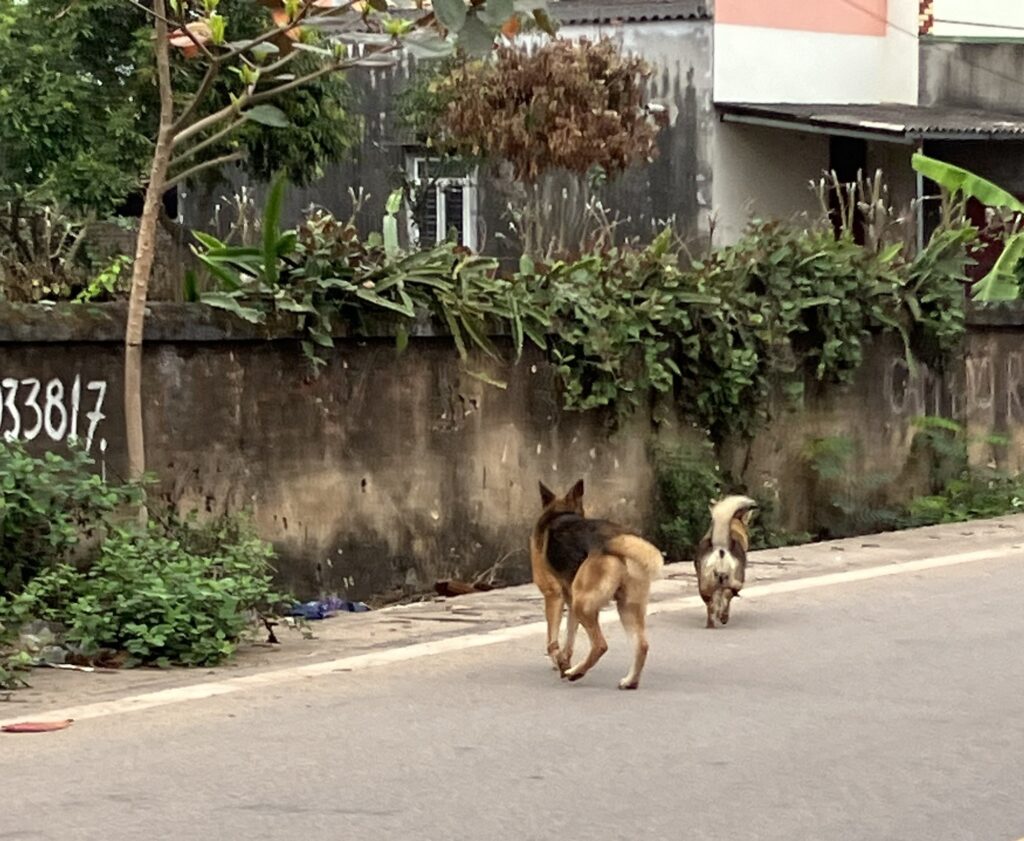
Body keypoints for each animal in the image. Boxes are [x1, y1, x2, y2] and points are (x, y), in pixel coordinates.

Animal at [528, 479, 663, 688]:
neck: (561, 513)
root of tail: (614, 540)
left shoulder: (554, 595)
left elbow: (552, 641)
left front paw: (560, 662)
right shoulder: (569, 599)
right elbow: (569, 636)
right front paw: (563, 661)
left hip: (583, 605)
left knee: (600, 645)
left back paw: (577, 673)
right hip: (626, 607)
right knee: (642, 645)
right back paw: (629, 681)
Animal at [692, 495, 757, 626]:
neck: (732, 529)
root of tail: (720, 546)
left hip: (704, 584)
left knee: (711, 605)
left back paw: (712, 622)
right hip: (735, 581)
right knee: (727, 597)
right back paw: (723, 617)